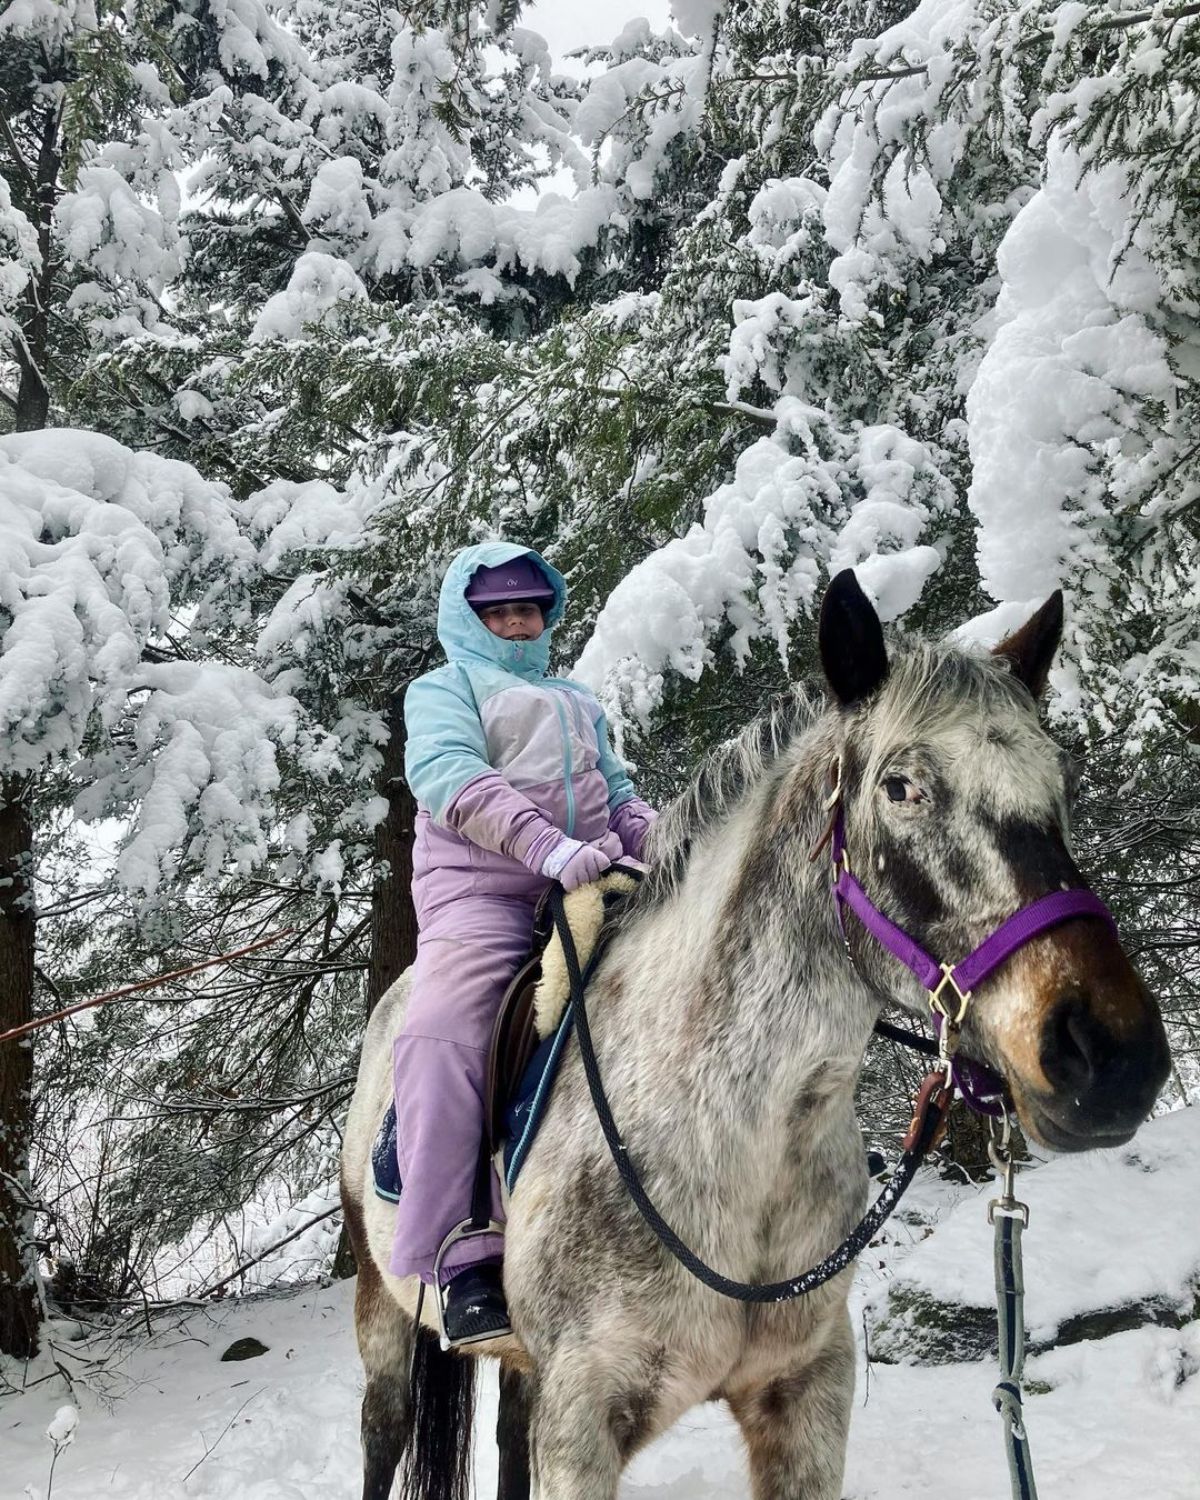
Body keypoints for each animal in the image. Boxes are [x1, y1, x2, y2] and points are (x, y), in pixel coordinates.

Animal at [342, 570, 1170, 1500]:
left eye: (1058, 782)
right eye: (901, 787)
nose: (1112, 1055)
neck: (734, 1135)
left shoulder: (807, 1393)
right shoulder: (582, 1421)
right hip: (385, 1312)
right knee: (384, 1430)